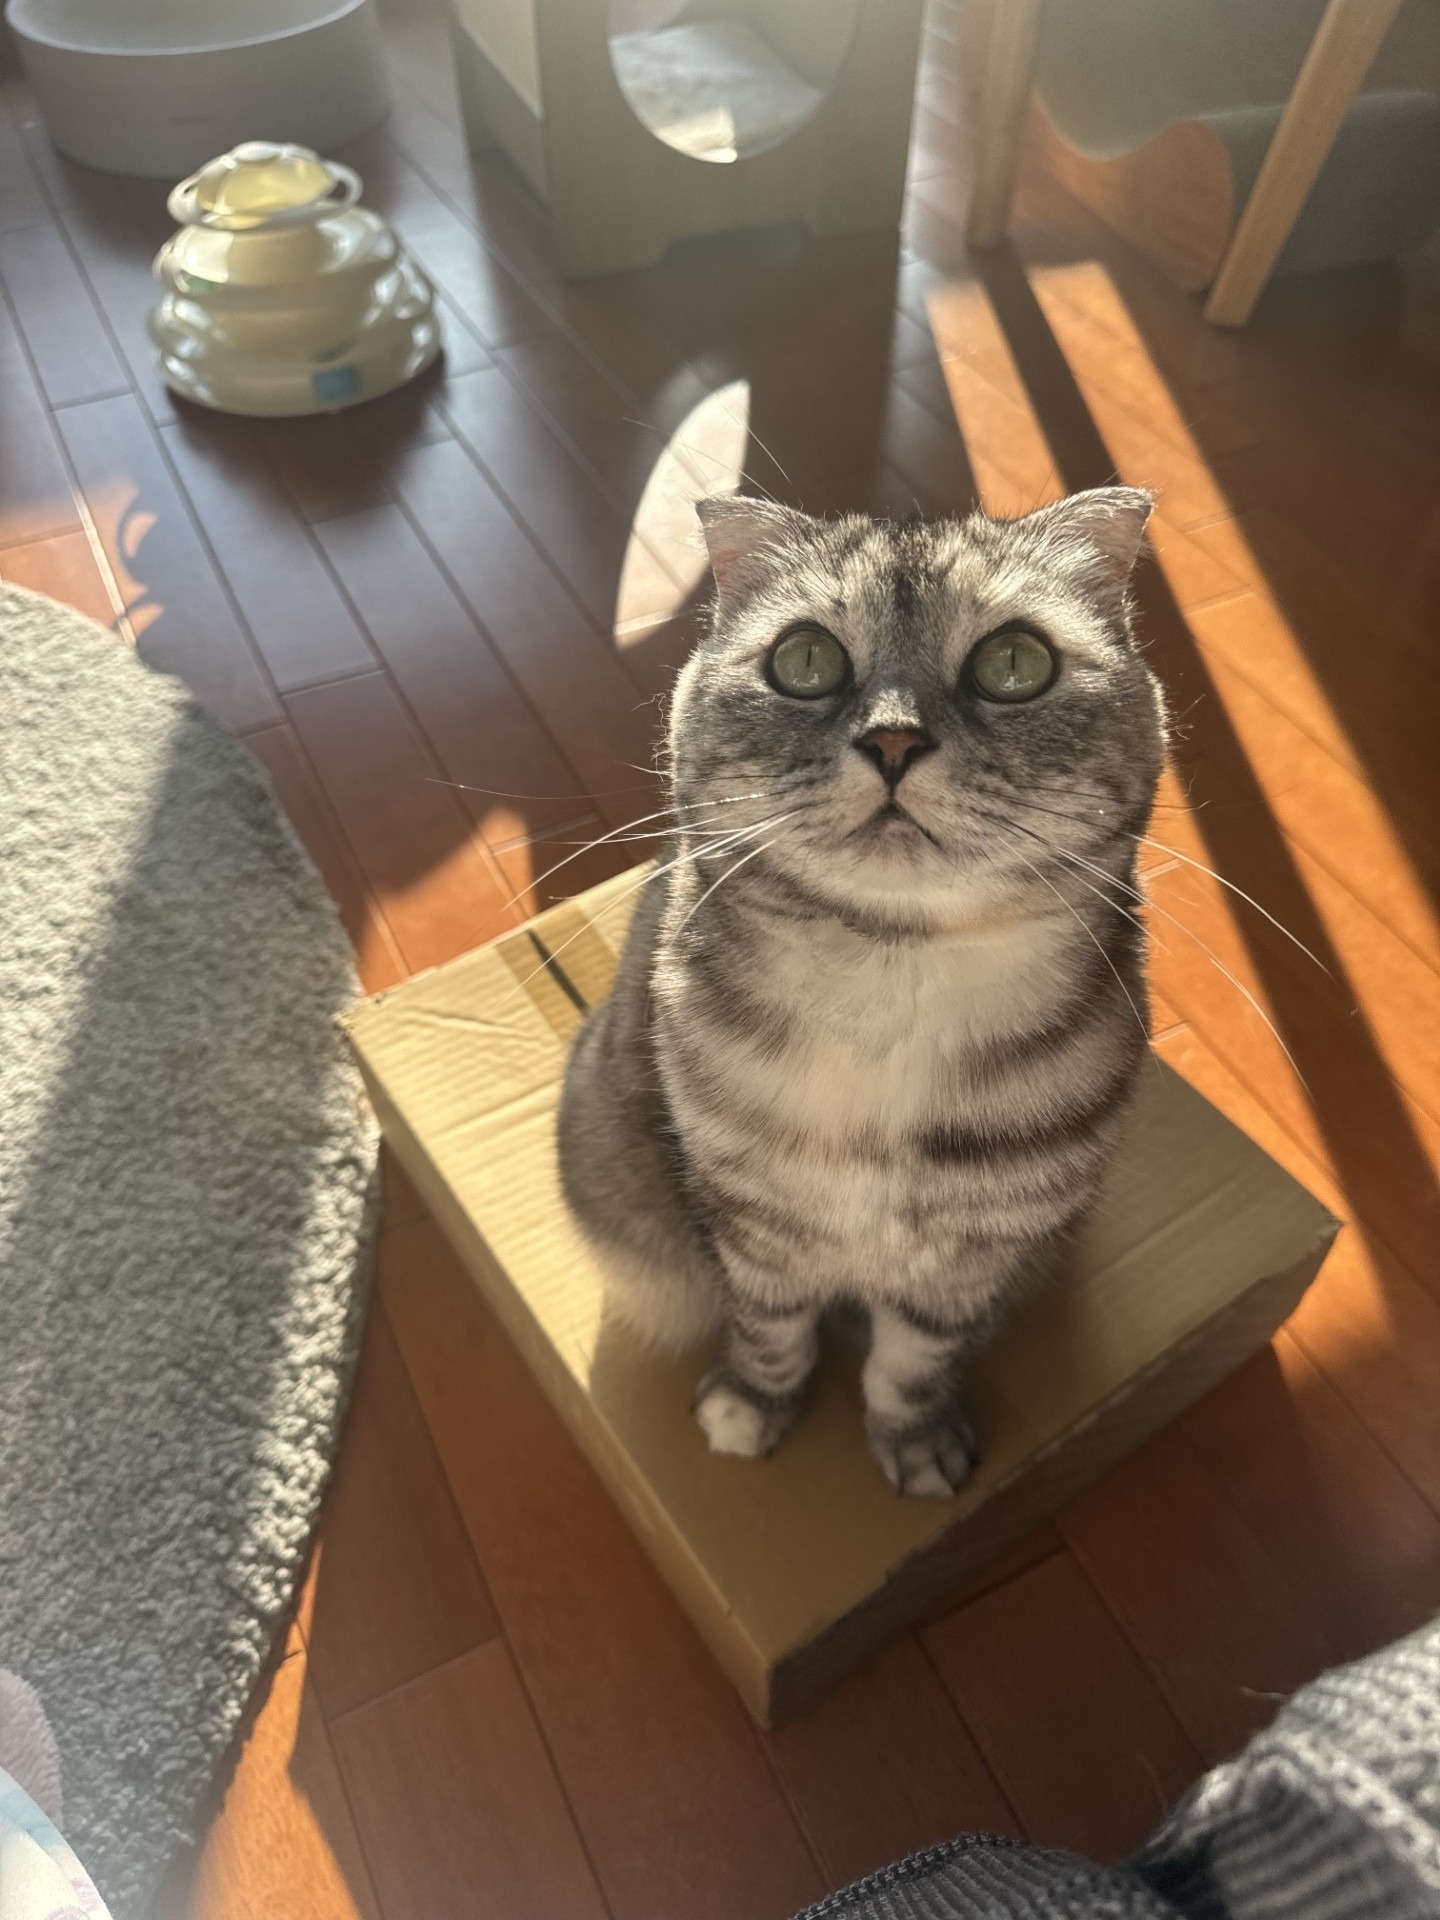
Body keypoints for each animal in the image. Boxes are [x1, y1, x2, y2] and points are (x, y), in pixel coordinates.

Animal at [558, 488, 1165, 1496]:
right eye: (805, 661)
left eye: (1014, 663)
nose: (893, 738)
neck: (893, 981)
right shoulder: (747, 1221)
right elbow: (771, 1328)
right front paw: (752, 1405)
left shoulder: (970, 1258)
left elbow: (912, 1359)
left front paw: (915, 1442)